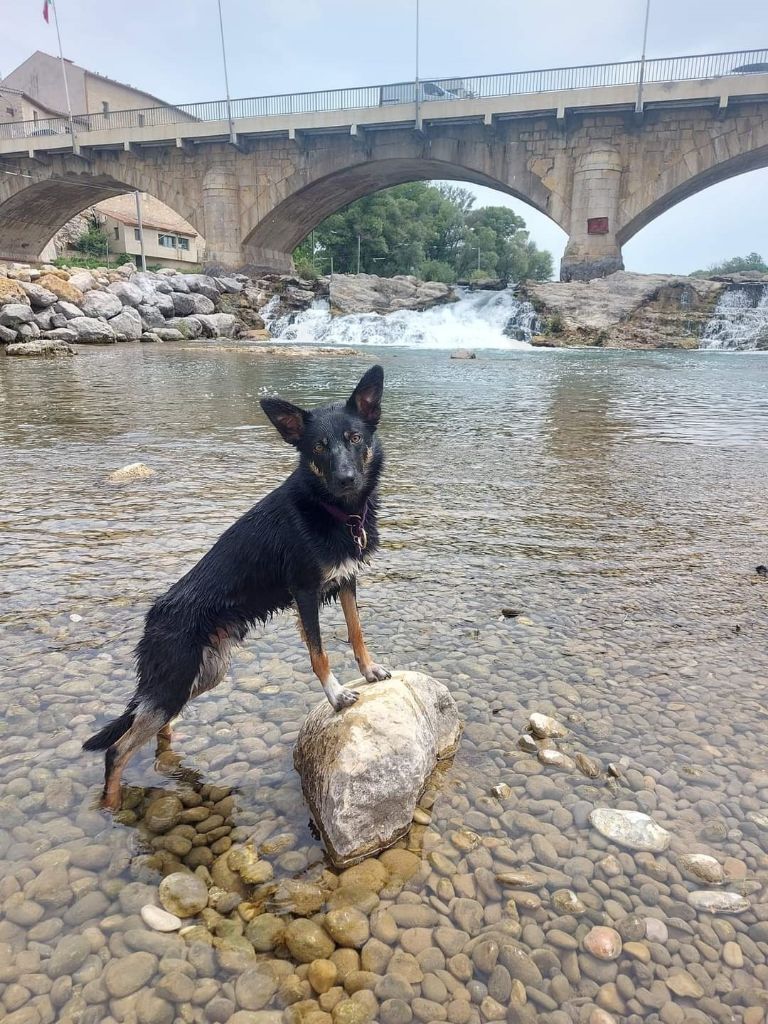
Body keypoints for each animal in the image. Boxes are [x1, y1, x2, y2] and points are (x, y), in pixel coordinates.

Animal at [83, 366, 391, 806]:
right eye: (318, 446)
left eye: (354, 438)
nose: (346, 479)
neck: (334, 510)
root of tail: (152, 619)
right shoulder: (305, 592)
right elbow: (319, 654)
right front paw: (335, 695)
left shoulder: (347, 580)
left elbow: (356, 632)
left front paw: (369, 670)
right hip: (175, 681)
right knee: (117, 750)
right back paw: (112, 809)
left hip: (203, 675)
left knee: (153, 728)